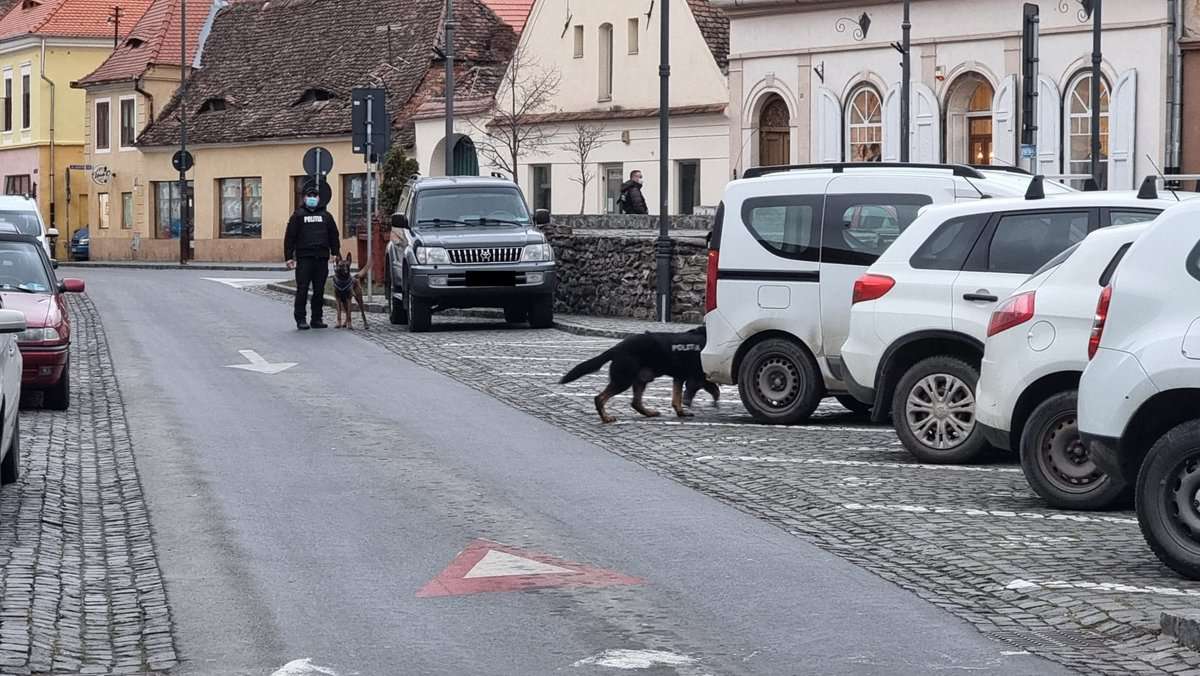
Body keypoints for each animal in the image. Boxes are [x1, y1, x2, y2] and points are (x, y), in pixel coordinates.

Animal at [556, 326, 715, 422]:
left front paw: (681, 413)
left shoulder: (679, 377)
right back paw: (606, 418)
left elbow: (677, 399)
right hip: (623, 380)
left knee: (635, 402)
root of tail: (617, 348)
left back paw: (649, 413)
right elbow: (710, 389)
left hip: (641, 379)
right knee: (599, 398)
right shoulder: (696, 377)